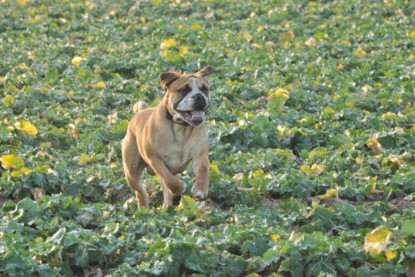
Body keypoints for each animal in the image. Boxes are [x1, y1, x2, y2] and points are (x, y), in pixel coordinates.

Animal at [122, 65, 218, 207]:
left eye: (204, 89)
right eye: (184, 90)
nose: (199, 96)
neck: (181, 128)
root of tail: (139, 113)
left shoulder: (200, 154)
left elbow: (203, 170)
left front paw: (200, 189)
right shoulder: (154, 159)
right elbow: (169, 180)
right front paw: (180, 187)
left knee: (166, 190)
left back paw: (166, 207)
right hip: (132, 171)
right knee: (140, 190)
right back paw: (144, 208)